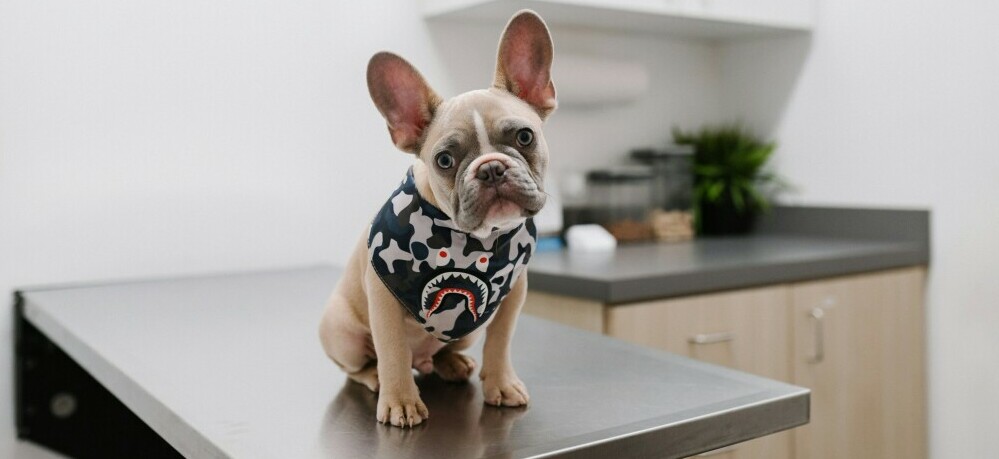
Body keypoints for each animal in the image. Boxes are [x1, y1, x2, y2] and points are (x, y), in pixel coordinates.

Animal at [316, 9, 556, 430]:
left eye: (525, 137)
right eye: (444, 160)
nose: (491, 168)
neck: (475, 243)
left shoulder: (513, 295)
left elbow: (501, 341)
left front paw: (501, 384)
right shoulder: (383, 299)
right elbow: (392, 351)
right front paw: (400, 402)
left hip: (465, 332)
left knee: (442, 352)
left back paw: (452, 363)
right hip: (340, 330)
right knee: (359, 365)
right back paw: (375, 378)